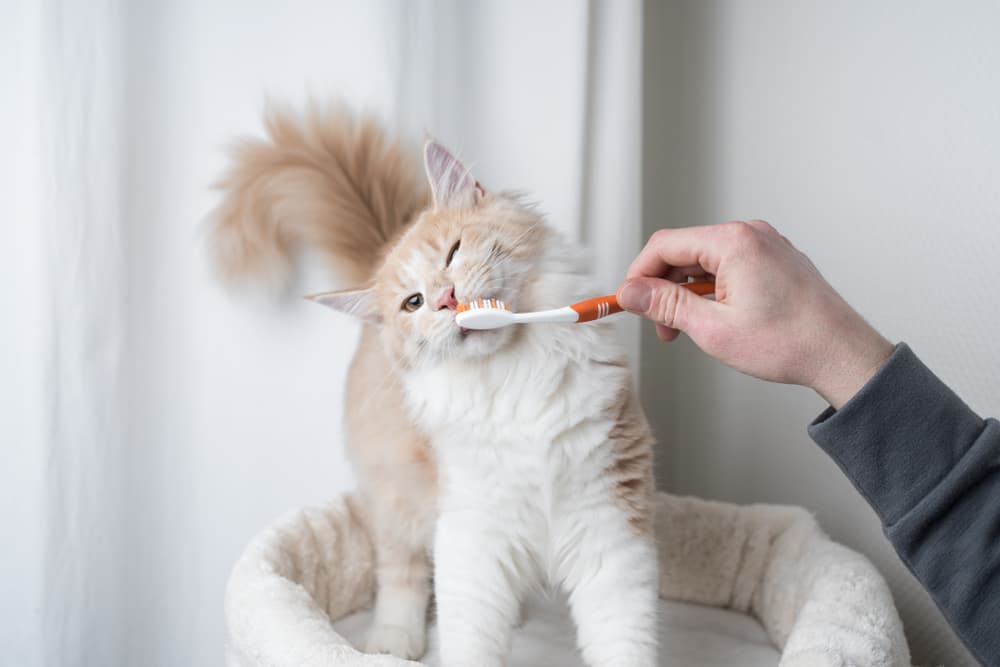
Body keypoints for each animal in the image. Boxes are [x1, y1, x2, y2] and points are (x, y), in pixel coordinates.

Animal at [208, 102, 660, 664]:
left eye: (453, 252)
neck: (515, 374)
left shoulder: (609, 522)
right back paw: (393, 641)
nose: (446, 299)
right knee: (401, 574)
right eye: (414, 303)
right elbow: (469, 636)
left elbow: (623, 639)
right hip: (395, 500)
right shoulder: (471, 534)